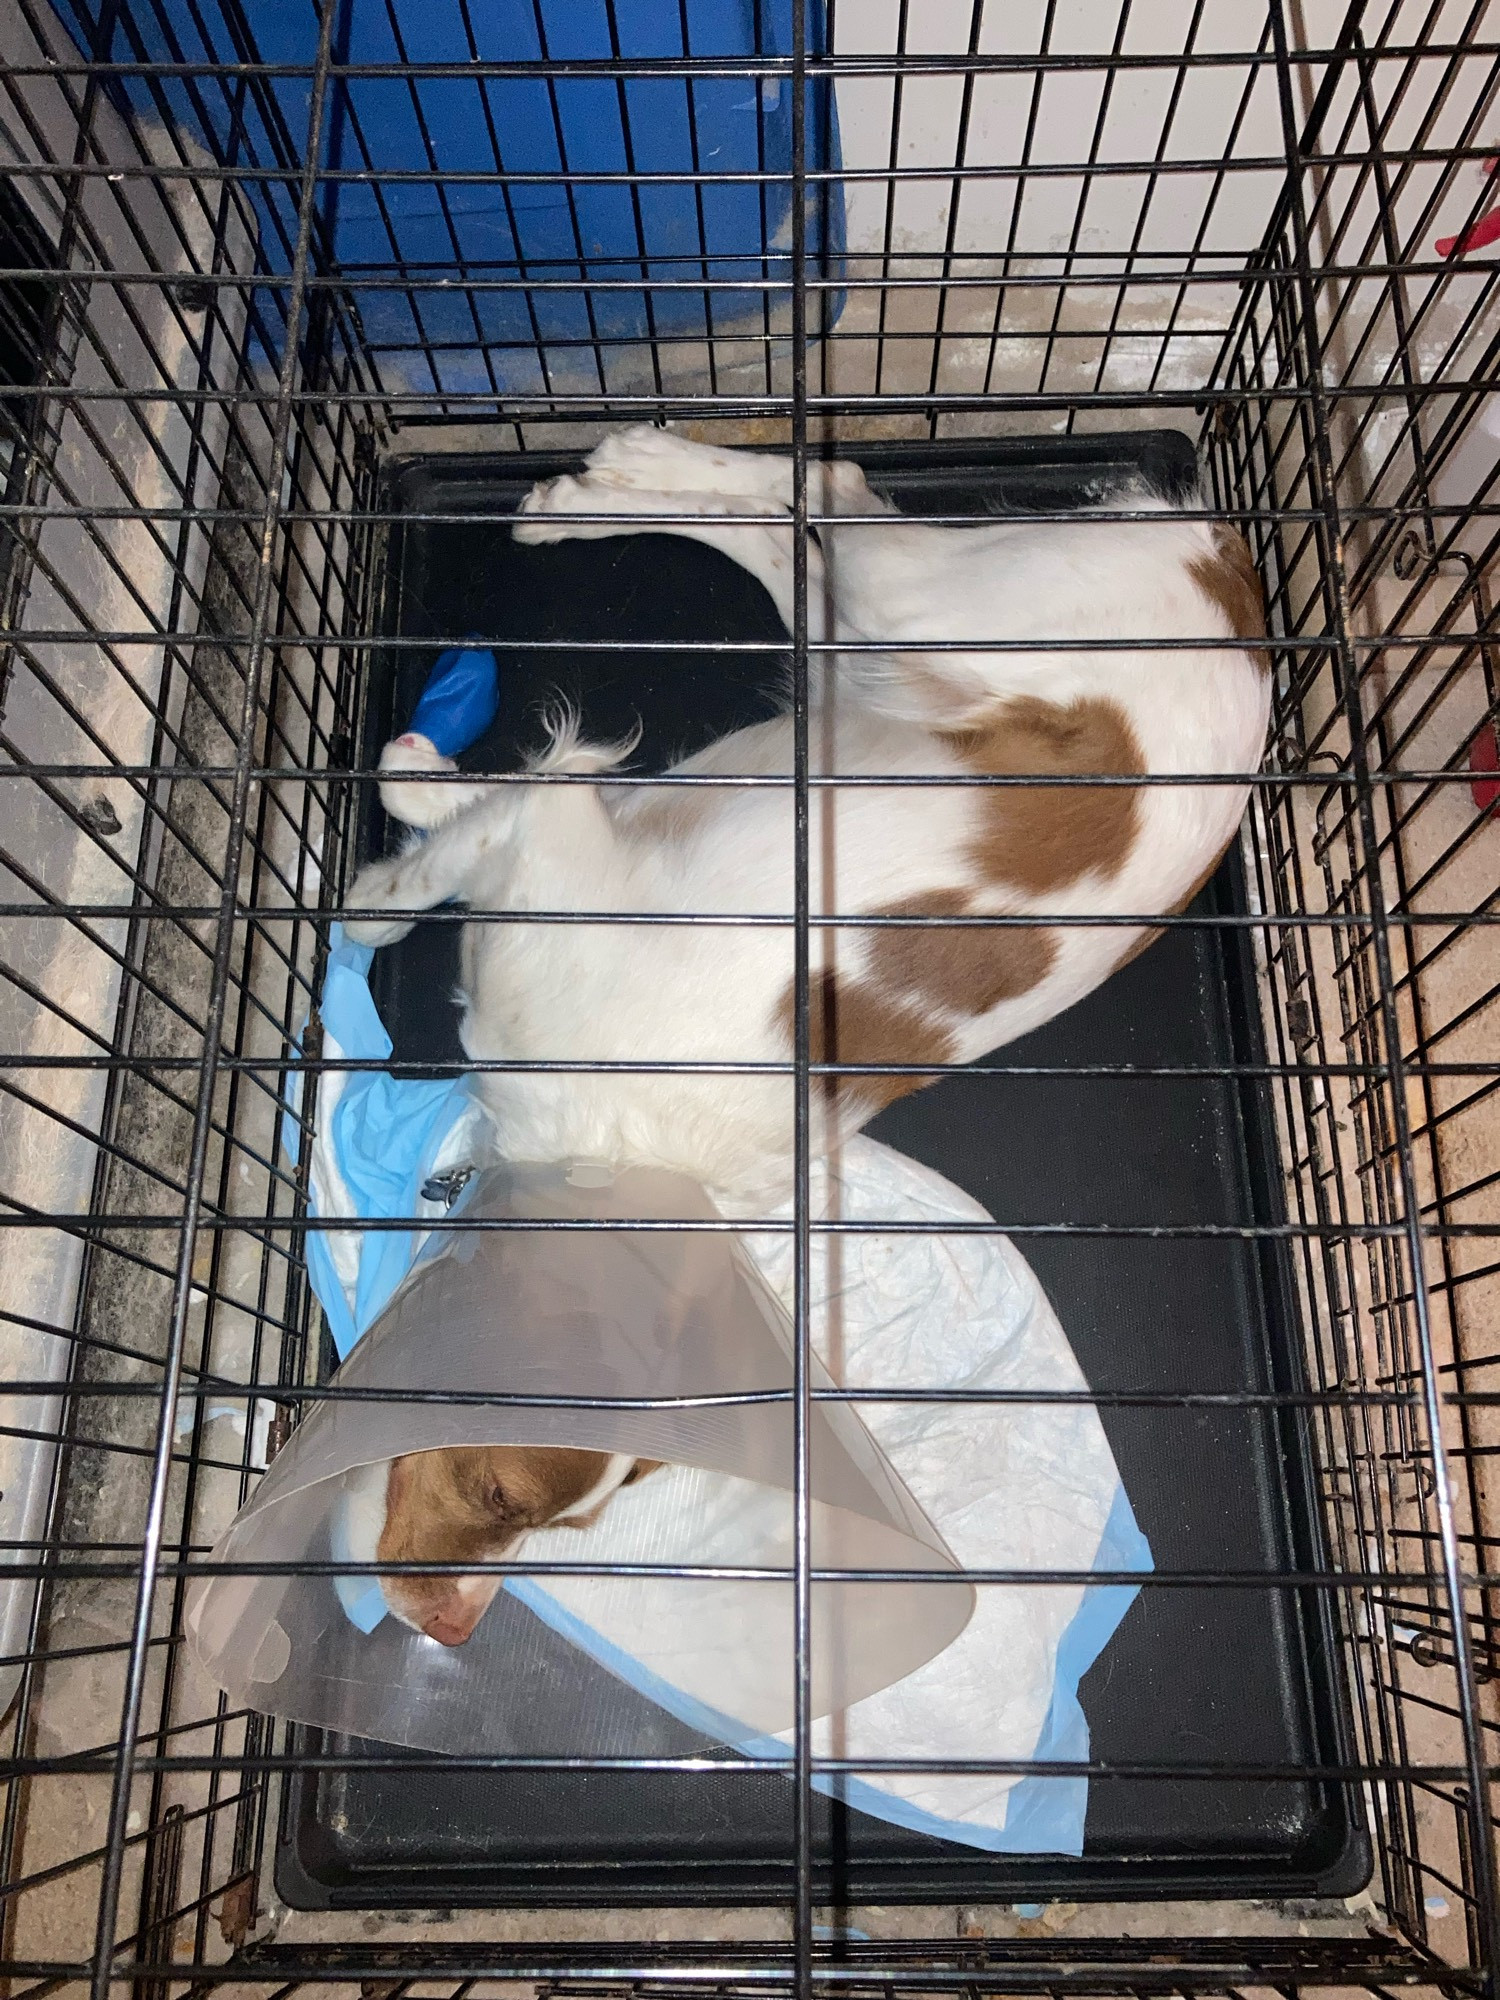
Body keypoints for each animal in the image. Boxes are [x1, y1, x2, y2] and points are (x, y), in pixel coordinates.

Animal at [338, 422, 1272, 1640]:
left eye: (561, 1521)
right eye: (498, 1491)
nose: (447, 1625)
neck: (617, 1152)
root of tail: (1238, 571)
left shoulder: (556, 836)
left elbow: (462, 829)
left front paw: (399, 825)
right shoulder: (555, 839)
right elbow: (438, 855)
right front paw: (392, 857)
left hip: (891, 637)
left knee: (815, 499)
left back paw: (603, 481)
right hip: (906, 625)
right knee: (821, 488)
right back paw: (605, 484)